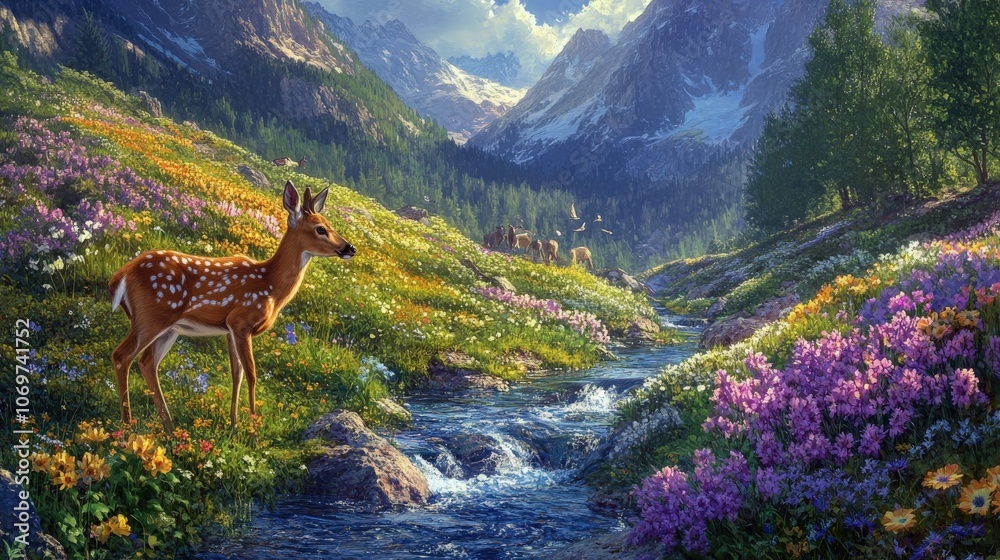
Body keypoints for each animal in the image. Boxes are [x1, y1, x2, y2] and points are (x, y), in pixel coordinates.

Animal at [108, 181, 355, 432]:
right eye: (320, 229)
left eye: (330, 224)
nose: (349, 248)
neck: (270, 286)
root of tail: (121, 275)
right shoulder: (241, 321)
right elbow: (252, 374)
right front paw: (254, 427)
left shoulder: (229, 328)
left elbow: (236, 373)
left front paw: (234, 424)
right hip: (152, 315)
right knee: (122, 355)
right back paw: (128, 426)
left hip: (169, 328)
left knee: (147, 362)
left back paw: (169, 427)